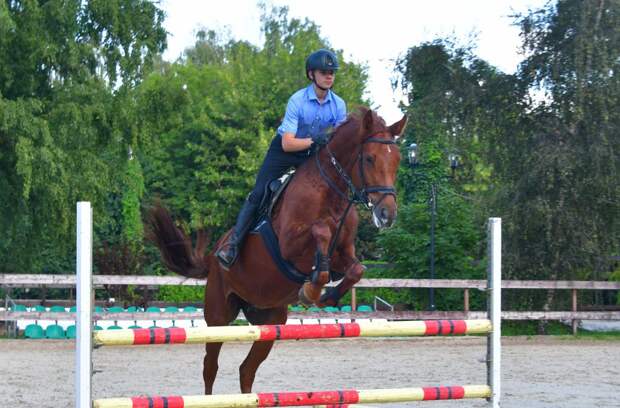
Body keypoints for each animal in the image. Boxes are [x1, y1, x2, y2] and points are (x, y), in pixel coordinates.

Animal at [150, 107, 406, 396]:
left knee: (246, 369)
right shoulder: (288, 246)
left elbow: (356, 269)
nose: (387, 215)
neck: (331, 194)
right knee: (210, 367)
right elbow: (321, 231)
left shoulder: (343, 255)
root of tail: (213, 257)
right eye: (370, 158)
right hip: (218, 316)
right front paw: (312, 289)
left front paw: (324, 294)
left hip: (270, 320)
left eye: (397, 160)